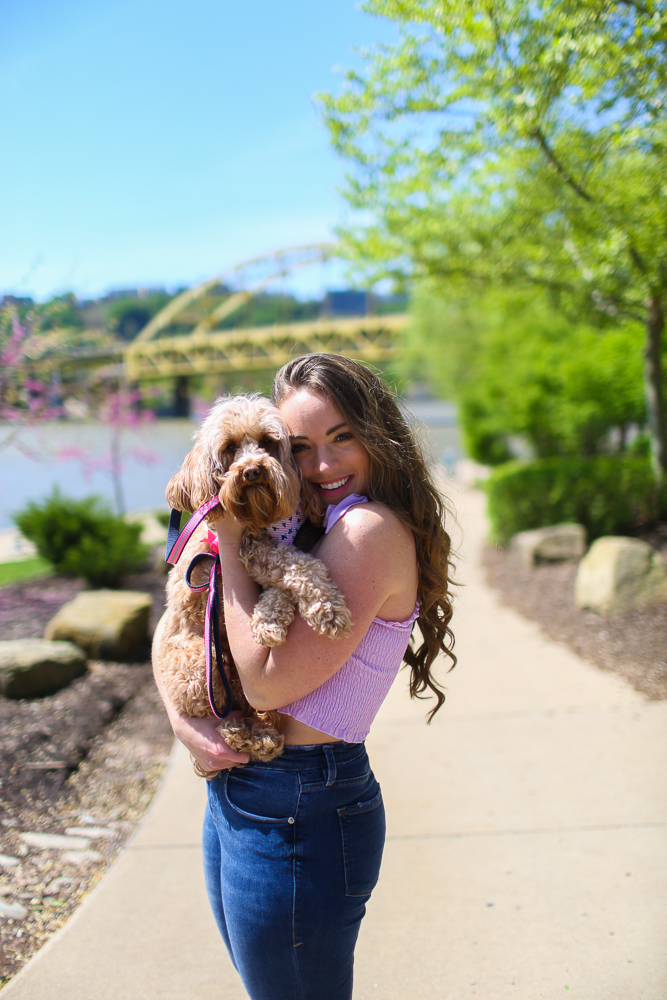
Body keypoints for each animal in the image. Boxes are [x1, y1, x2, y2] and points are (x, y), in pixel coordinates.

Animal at [151, 394, 350, 776]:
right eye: (229, 448)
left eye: (268, 442)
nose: (253, 470)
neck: (267, 522)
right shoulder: (253, 549)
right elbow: (295, 564)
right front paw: (328, 610)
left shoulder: (278, 549)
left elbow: (287, 576)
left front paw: (270, 620)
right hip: (201, 663)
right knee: (219, 713)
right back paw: (246, 735)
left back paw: (259, 733)